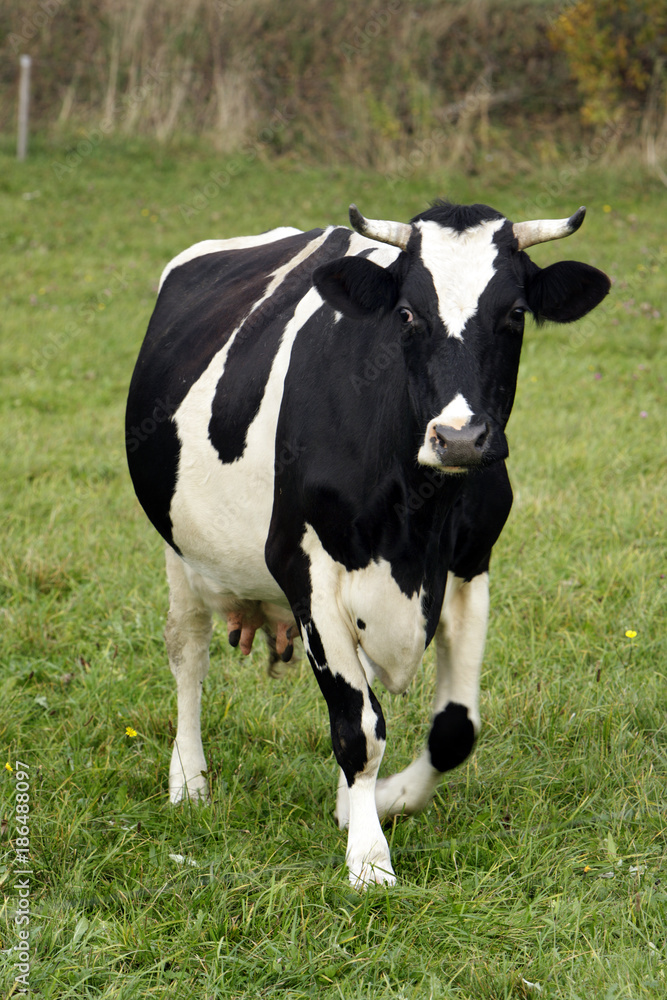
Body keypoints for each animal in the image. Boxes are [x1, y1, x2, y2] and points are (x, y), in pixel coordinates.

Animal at [125, 199, 612, 888]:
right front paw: (370, 859)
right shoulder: (301, 564)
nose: (459, 438)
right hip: (179, 549)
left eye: (515, 313)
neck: (416, 520)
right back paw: (188, 780)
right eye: (406, 313)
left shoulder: (471, 566)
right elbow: (359, 727)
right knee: (188, 651)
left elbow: (453, 730)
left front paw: (386, 801)